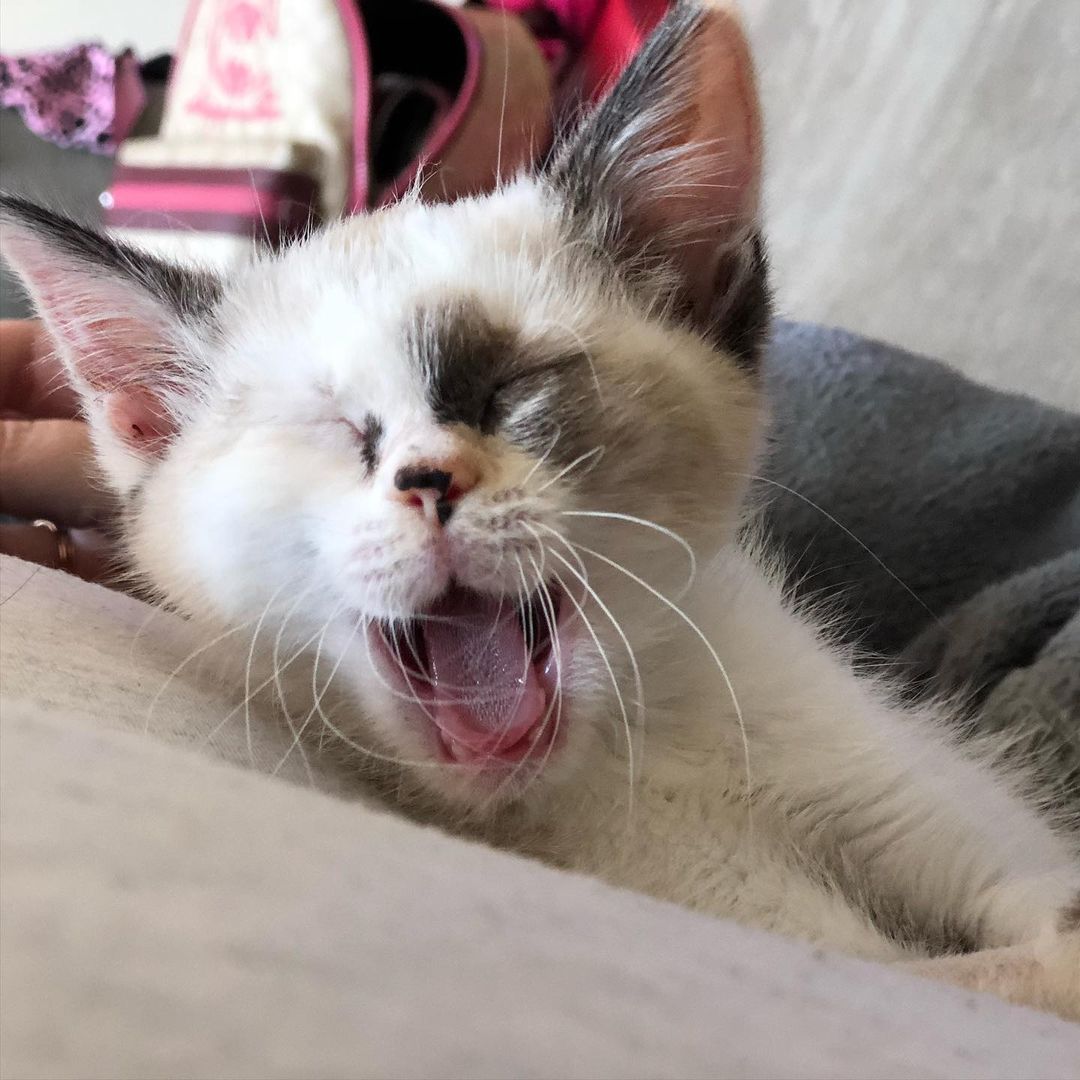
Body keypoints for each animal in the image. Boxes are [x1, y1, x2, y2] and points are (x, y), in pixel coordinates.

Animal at [2, 2, 1080, 1019]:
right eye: (340, 430)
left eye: (509, 390)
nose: (430, 480)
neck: (635, 745)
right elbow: (974, 972)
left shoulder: (924, 806)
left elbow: (1031, 926)